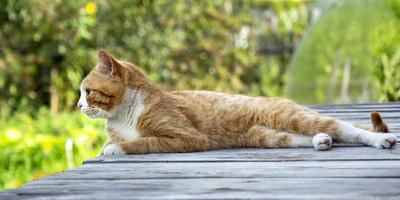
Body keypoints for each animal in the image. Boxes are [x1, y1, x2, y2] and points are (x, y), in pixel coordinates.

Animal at [77, 50, 396, 156]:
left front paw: (116, 148)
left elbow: (143, 141)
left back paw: (382, 141)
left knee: (347, 129)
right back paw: (322, 141)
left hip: (294, 118)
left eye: (87, 91)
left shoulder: (186, 137)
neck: (122, 116)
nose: (78, 106)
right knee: (315, 136)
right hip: (265, 136)